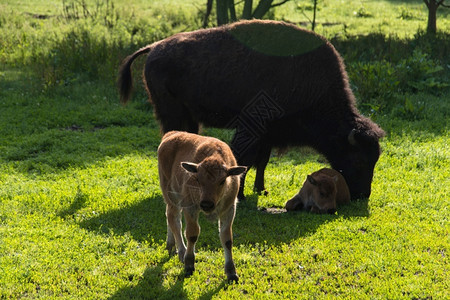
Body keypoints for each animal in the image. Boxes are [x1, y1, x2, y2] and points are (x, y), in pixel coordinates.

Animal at [118, 19, 384, 200]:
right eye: (358, 158)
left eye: (375, 158)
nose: (363, 194)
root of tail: (154, 47)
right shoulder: (252, 128)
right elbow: (243, 159)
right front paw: (240, 195)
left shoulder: (268, 134)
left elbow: (261, 161)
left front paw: (261, 189)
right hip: (171, 114)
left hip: (189, 118)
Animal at [156, 131, 246, 282]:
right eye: (198, 179)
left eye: (222, 181)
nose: (206, 204)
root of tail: (171, 134)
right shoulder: (190, 208)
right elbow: (192, 234)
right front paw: (189, 265)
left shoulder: (229, 210)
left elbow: (227, 239)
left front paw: (231, 273)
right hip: (171, 195)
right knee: (175, 220)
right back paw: (181, 252)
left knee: (170, 218)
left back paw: (170, 246)